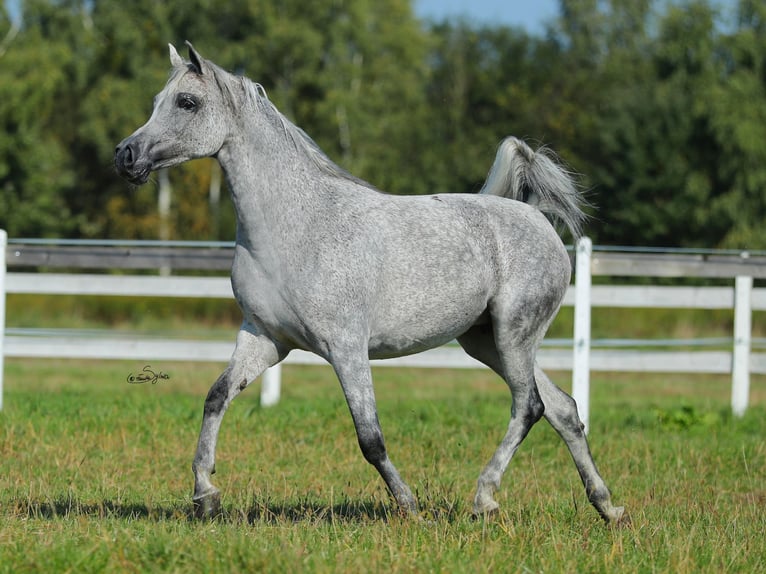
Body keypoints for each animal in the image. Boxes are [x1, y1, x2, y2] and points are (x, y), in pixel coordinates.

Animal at [117, 44, 628, 528]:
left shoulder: (346, 347)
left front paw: (410, 507)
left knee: (529, 406)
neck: (297, 228)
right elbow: (216, 397)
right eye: (158, 99)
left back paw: (485, 499)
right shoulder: (265, 339)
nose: (125, 155)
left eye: (187, 102)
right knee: (563, 408)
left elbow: (370, 438)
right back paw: (608, 507)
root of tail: (537, 218)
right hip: (488, 342)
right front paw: (205, 496)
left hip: (513, 336)